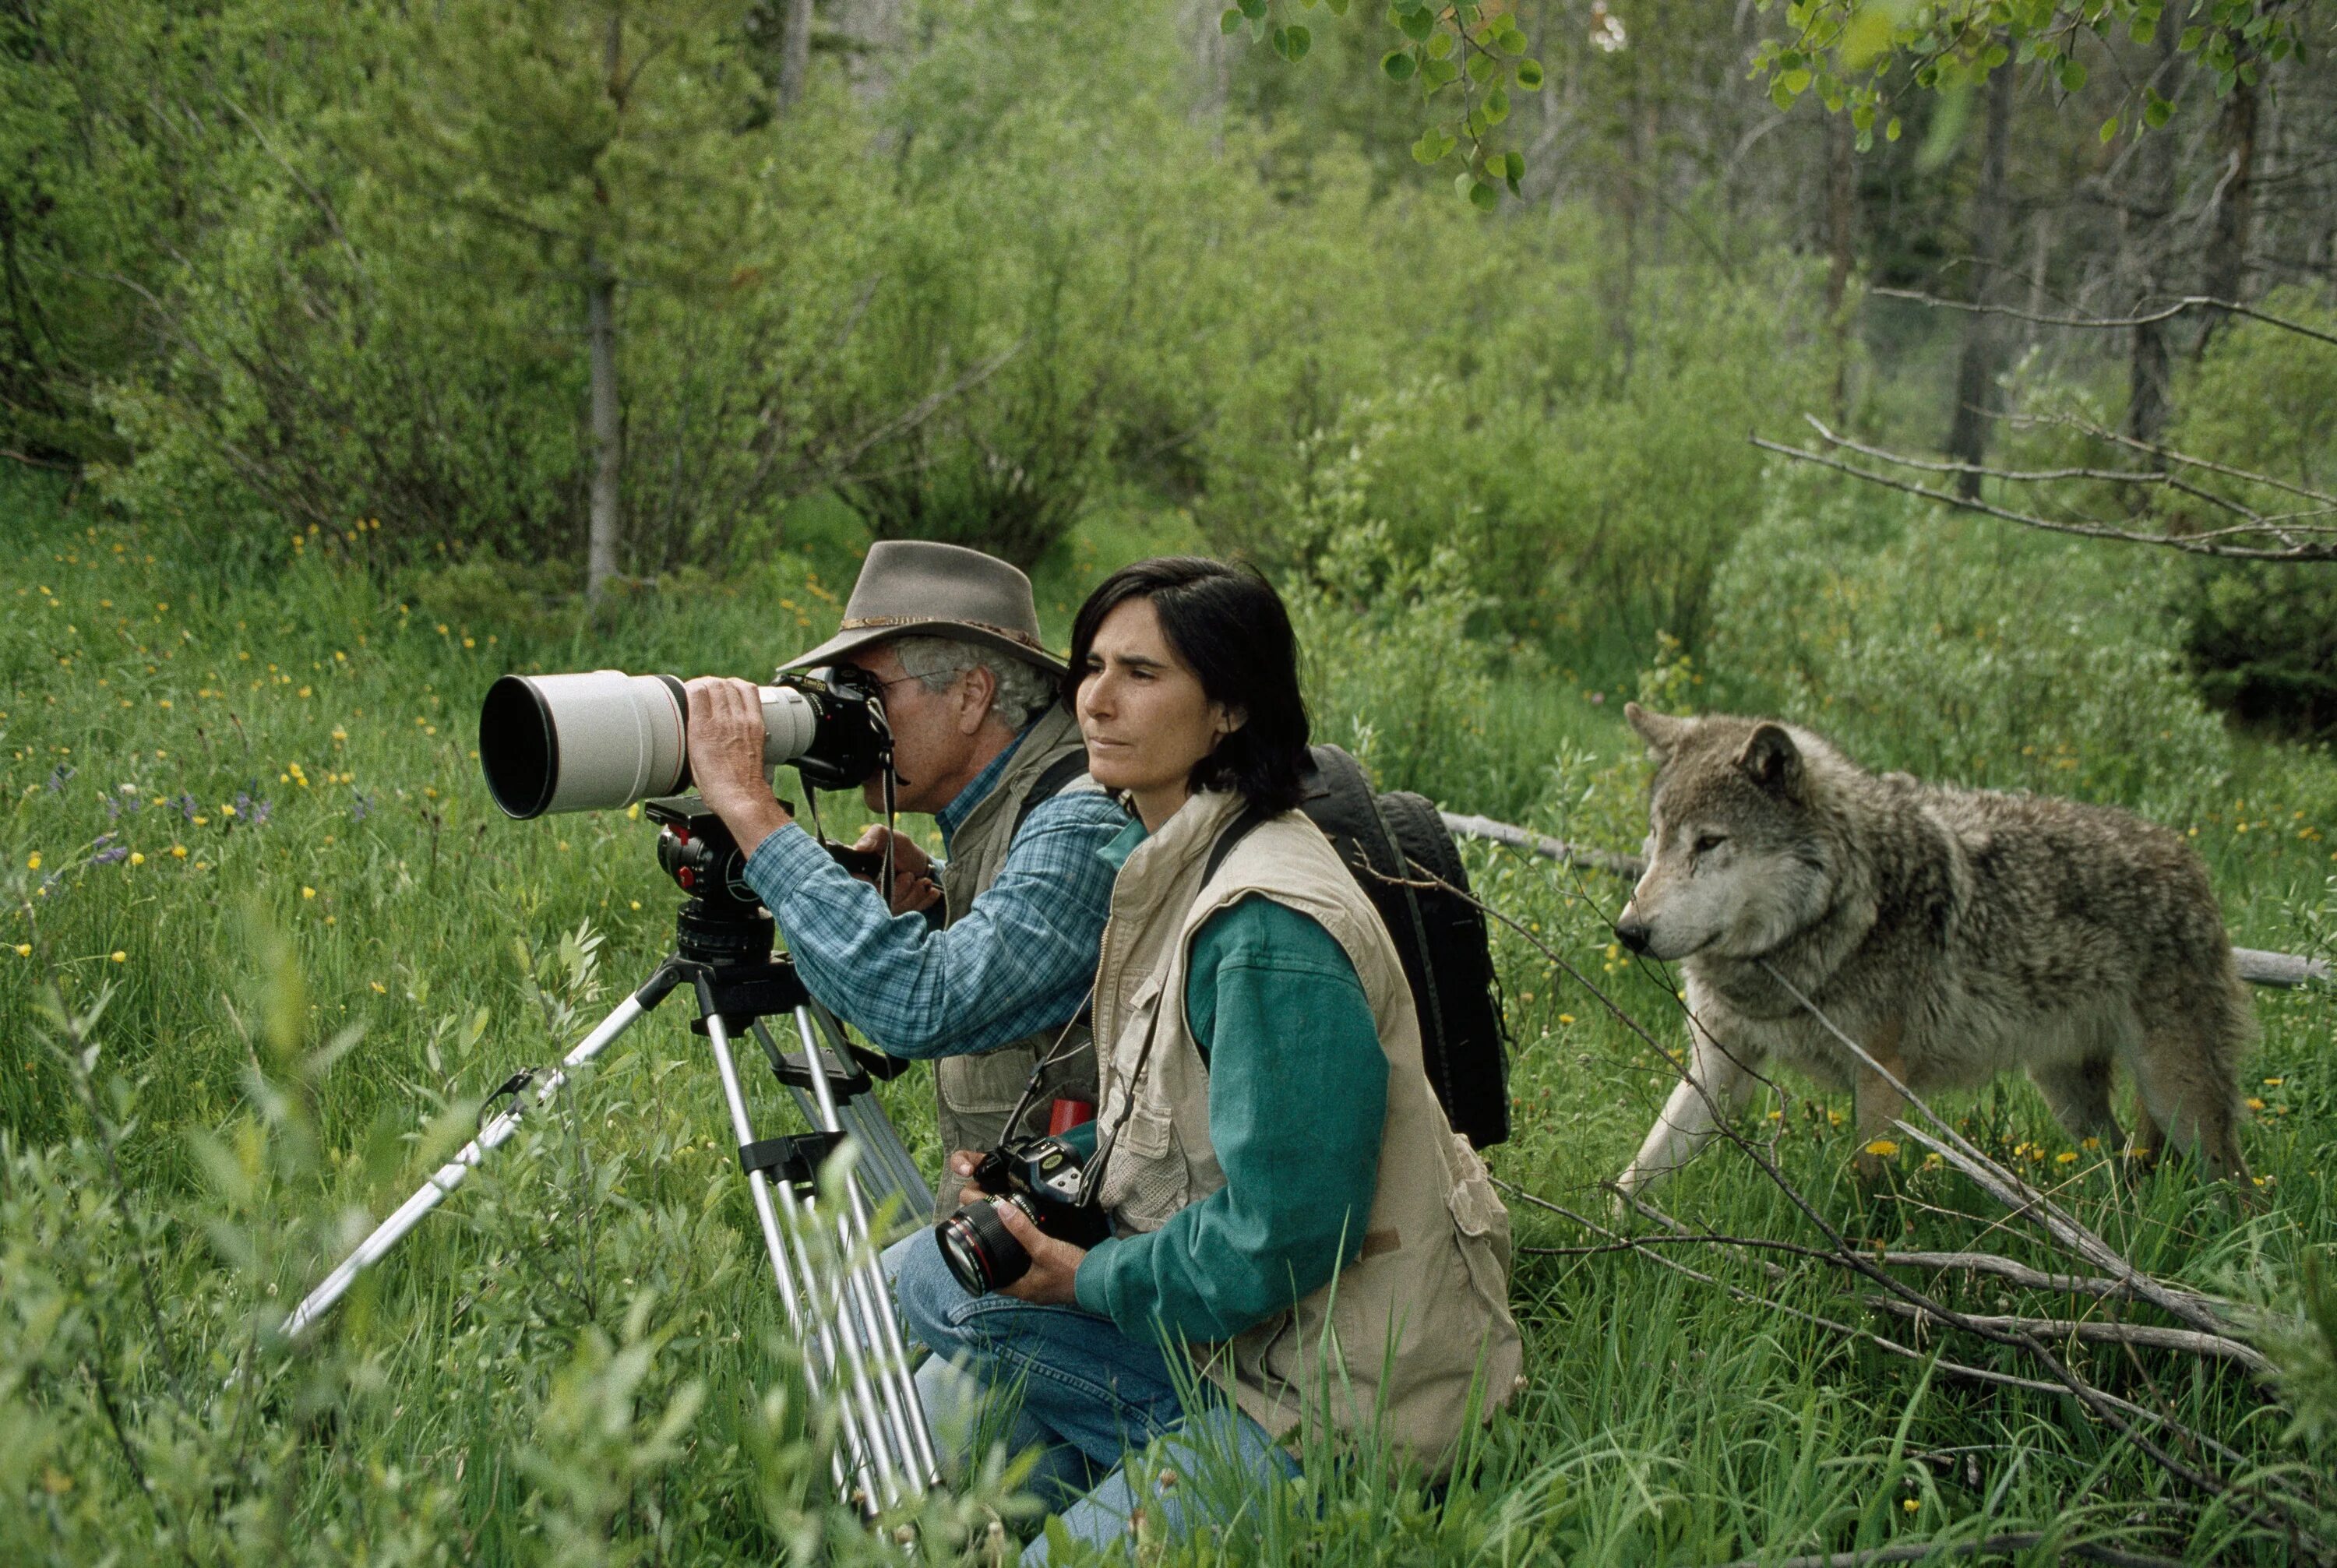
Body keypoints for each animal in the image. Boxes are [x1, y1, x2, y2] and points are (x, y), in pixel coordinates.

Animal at [1617, 706, 2253, 1196]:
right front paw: (1609, 1246)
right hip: (2068, 1094)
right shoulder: (1718, 1064)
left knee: (2240, 1189)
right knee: (2127, 1167)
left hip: (2178, 1100)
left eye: (1709, 842)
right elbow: (1635, 1176)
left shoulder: (1880, 1078)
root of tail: (2189, 859)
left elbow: (1865, 1191)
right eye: (1657, 835)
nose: (1628, 931)